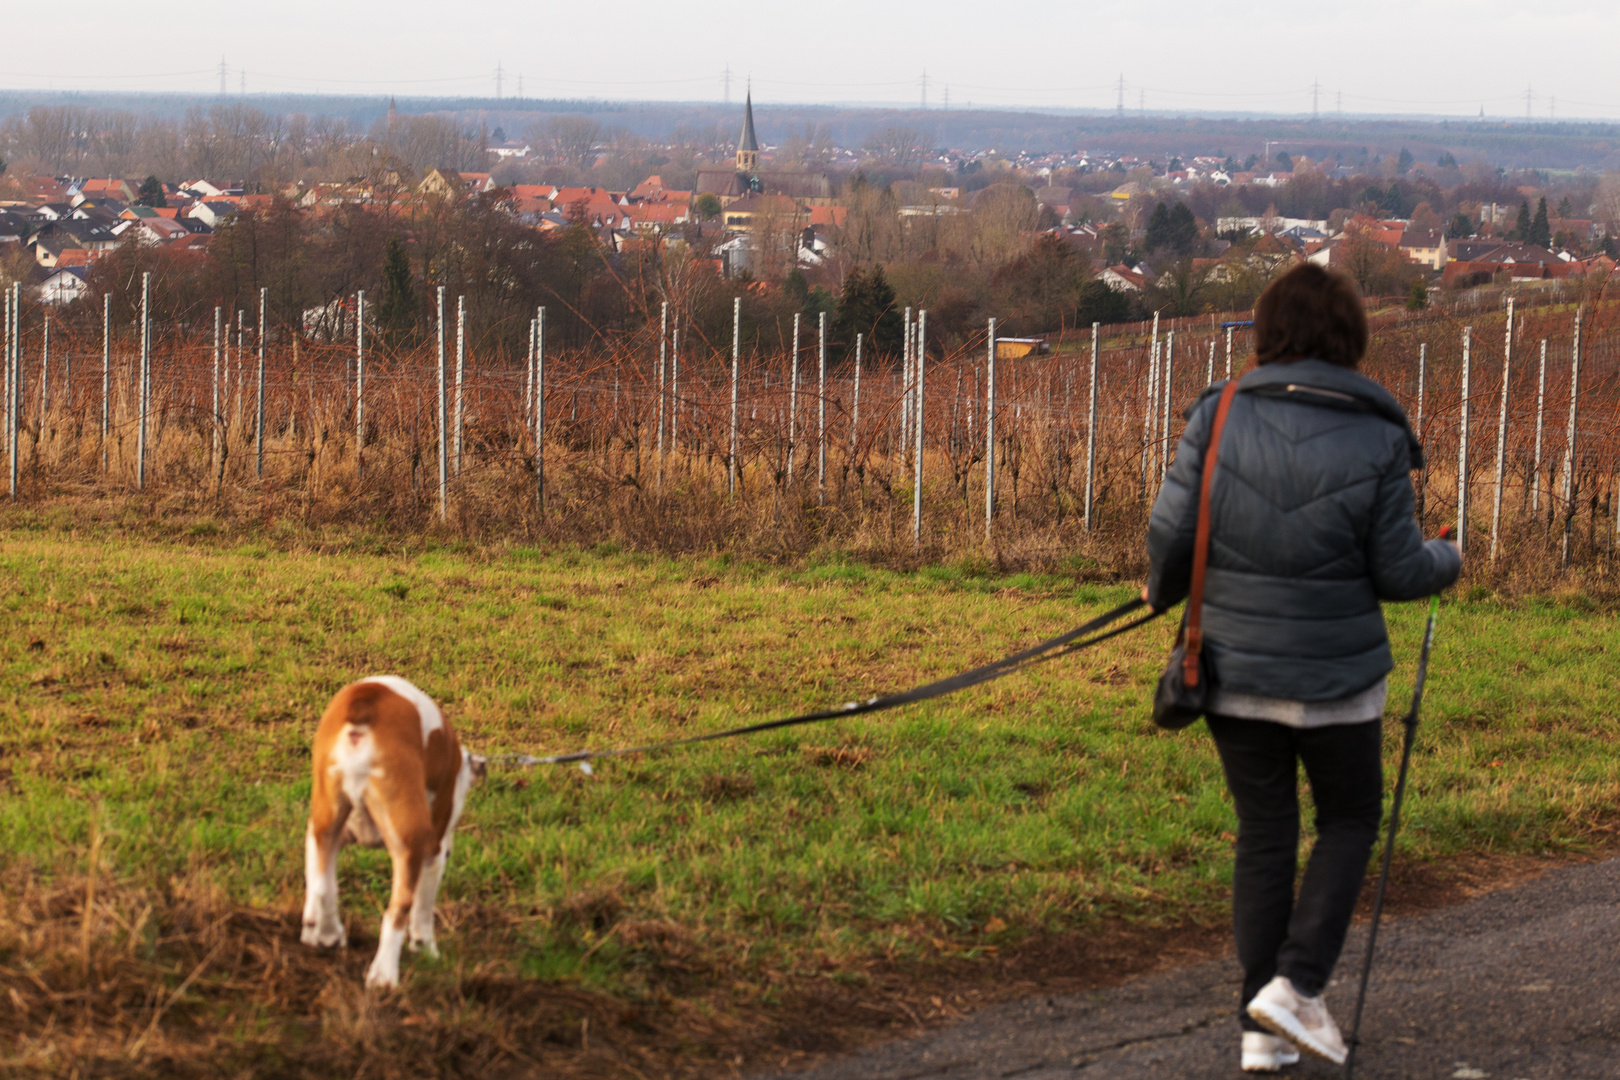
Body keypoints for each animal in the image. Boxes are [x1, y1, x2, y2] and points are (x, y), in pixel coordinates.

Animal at [301, 676, 482, 990]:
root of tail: (365, 700)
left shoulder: (318, 834)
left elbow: (318, 885)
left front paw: (314, 929)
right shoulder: (433, 851)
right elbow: (422, 911)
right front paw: (426, 949)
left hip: (326, 821)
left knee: (325, 888)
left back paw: (328, 935)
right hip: (411, 841)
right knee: (397, 910)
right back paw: (384, 974)